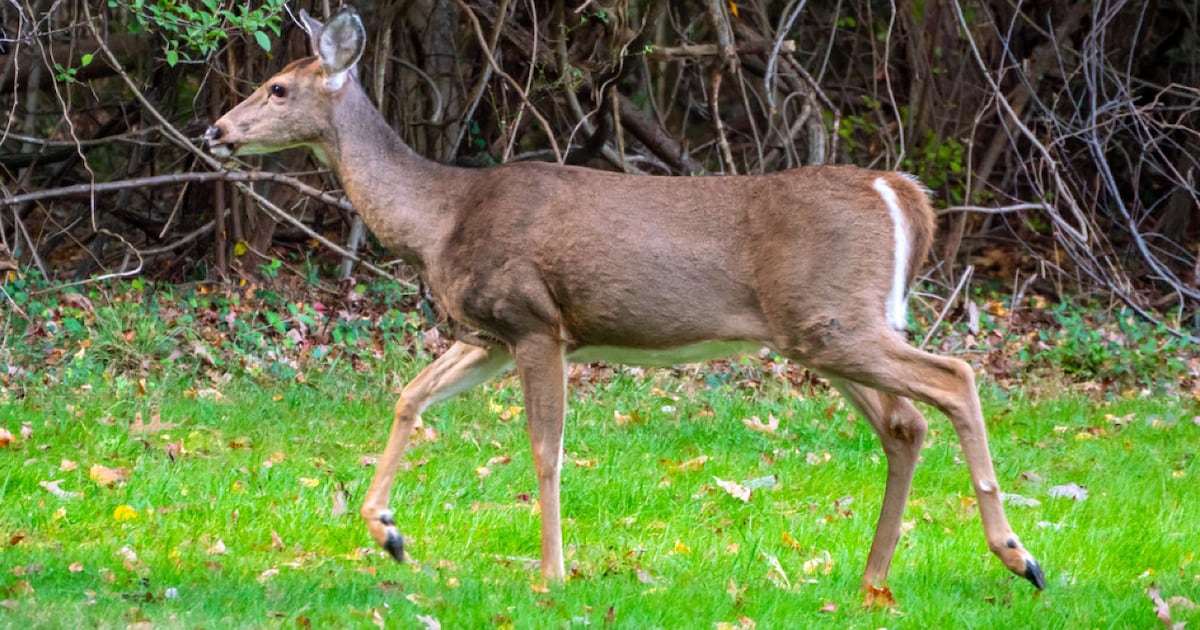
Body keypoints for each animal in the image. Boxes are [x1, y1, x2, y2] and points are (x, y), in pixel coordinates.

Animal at [204, 6, 1045, 595]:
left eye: (278, 87)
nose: (215, 131)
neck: (440, 217)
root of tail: (900, 190)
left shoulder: (536, 321)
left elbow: (545, 450)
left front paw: (552, 574)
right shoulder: (487, 334)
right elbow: (410, 395)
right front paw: (386, 530)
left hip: (836, 323)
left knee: (954, 378)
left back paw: (1017, 556)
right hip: (825, 330)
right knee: (905, 425)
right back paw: (874, 578)